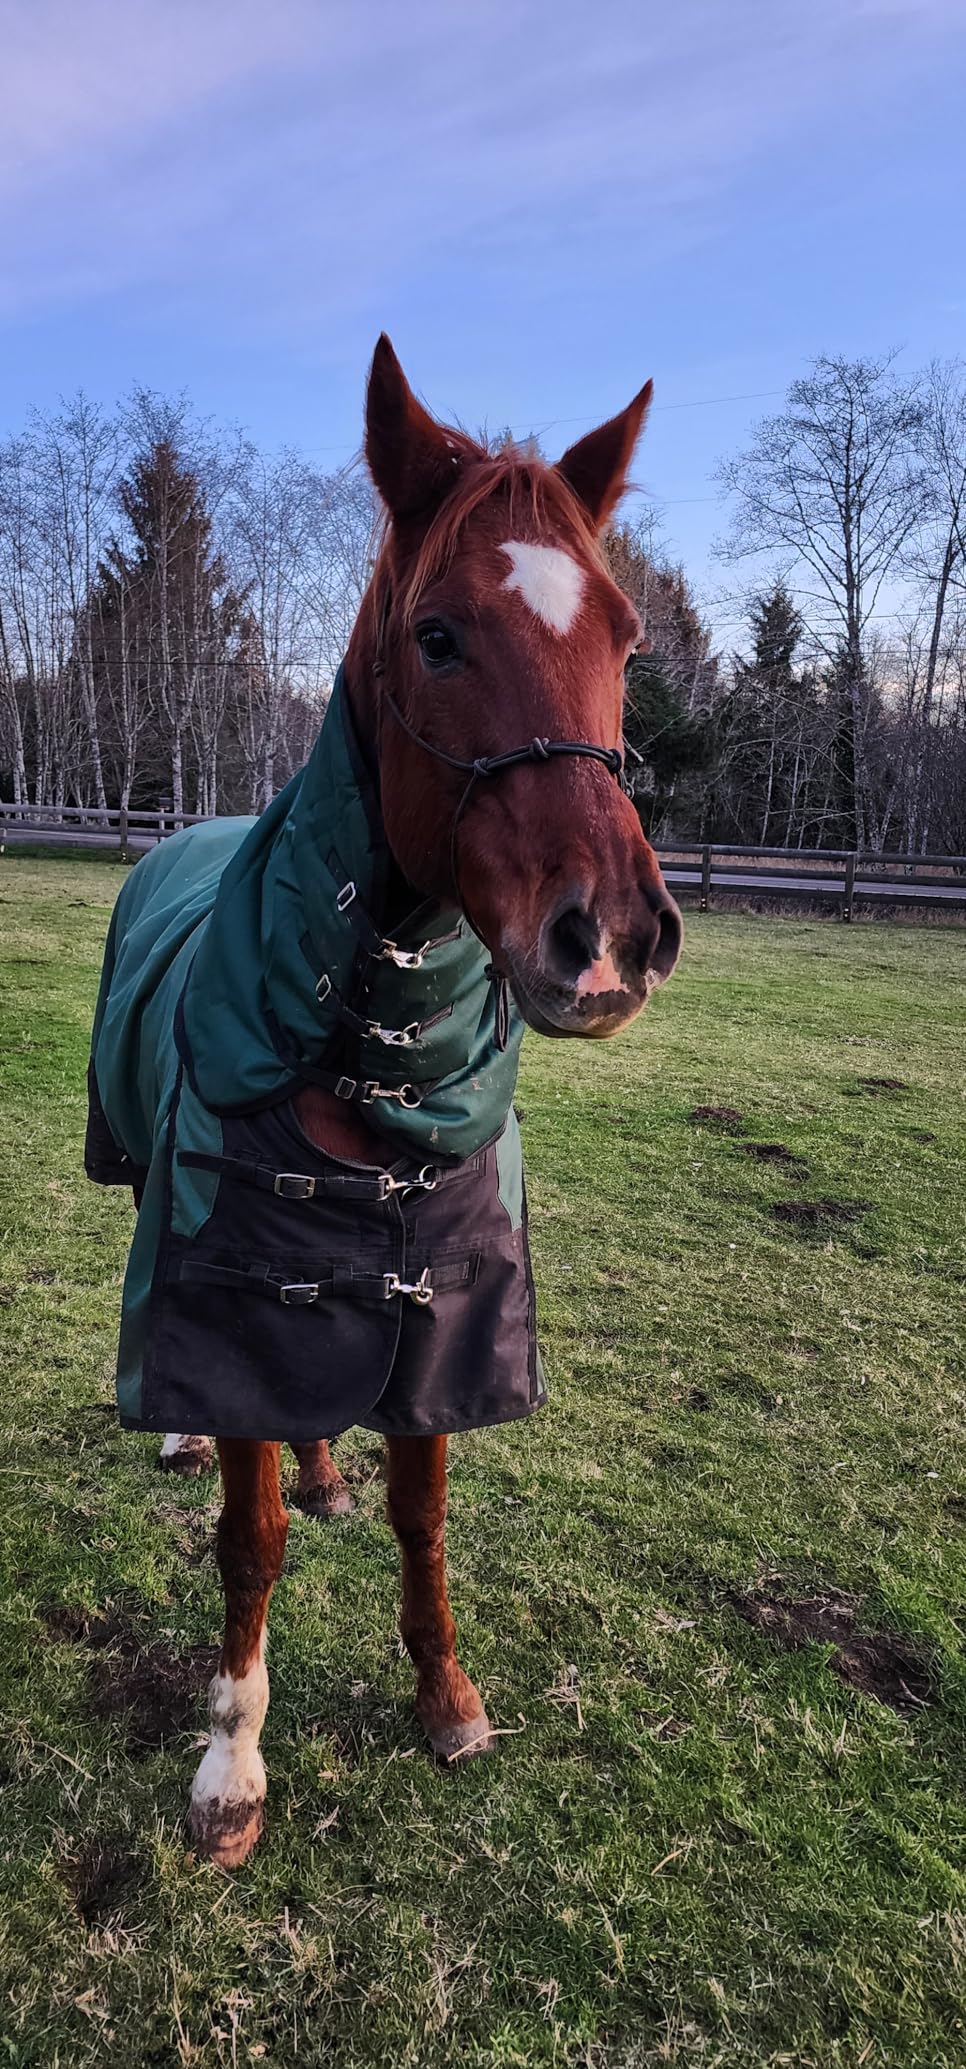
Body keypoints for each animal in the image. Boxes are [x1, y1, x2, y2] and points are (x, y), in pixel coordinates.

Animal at [85, 336, 682, 1868]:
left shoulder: (443, 1307)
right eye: (439, 637)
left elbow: (423, 1514)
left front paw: (445, 1694)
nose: (614, 939)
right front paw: (230, 1761)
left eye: (626, 639)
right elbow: (248, 1542)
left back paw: (324, 1467)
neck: (377, 1059)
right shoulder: (231, 1298)